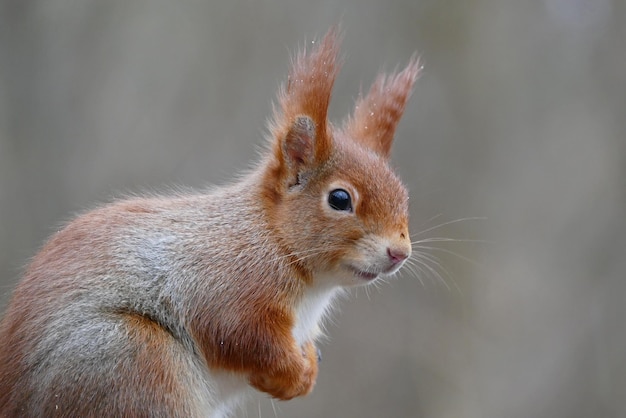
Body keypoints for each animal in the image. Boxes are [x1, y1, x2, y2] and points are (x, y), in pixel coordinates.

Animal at [0, 27, 420, 416]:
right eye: (339, 199)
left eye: (404, 194)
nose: (400, 252)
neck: (274, 241)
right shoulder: (223, 283)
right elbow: (241, 336)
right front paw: (295, 375)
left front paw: (309, 370)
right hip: (134, 360)